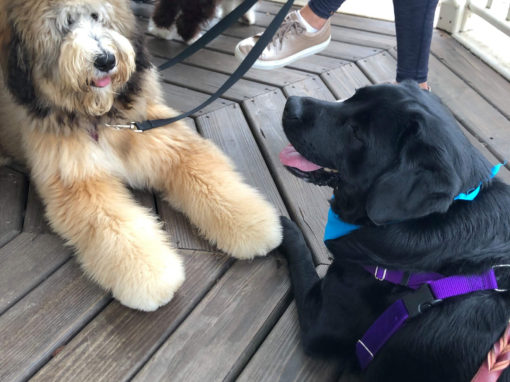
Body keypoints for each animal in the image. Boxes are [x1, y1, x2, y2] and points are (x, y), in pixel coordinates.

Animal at [0, 0, 280, 310]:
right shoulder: (81, 182)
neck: (101, 117)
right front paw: (150, 275)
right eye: (66, 24)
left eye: (97, 16)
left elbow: (209, 180)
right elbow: (114, 225)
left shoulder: (163, 139)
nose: (105, 60)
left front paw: (252, 223)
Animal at [276, 82, 510, 380]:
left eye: (357, 132)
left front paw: (280, 225)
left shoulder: (317, 320)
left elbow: (301, 254)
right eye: (353, 95)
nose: (290, 105)